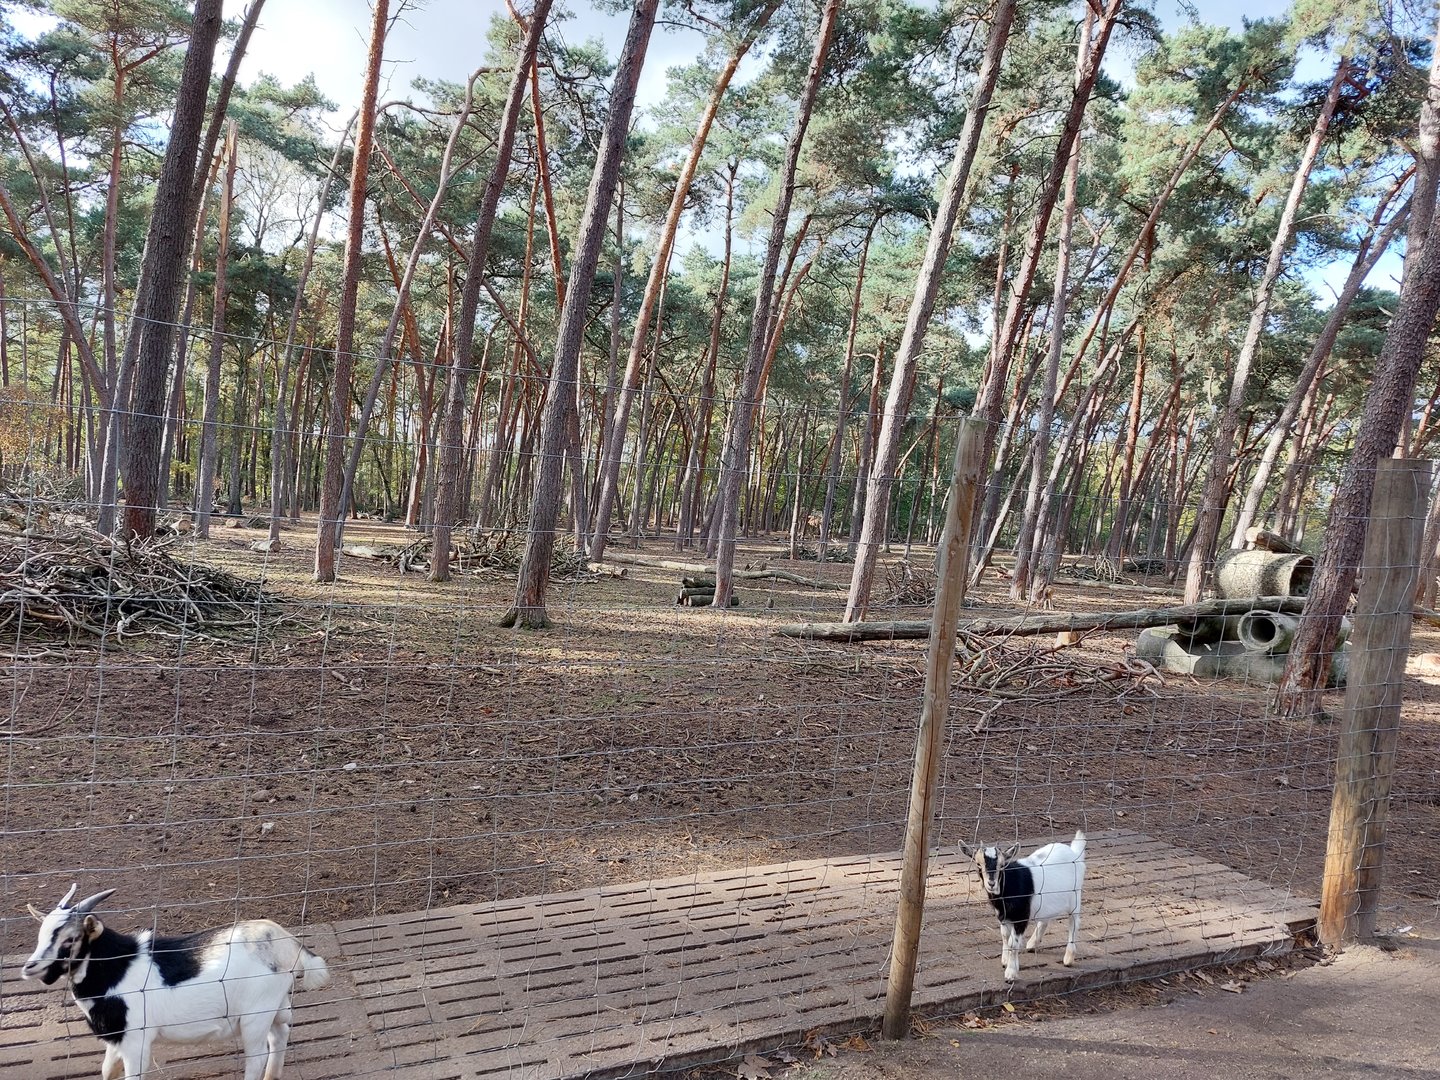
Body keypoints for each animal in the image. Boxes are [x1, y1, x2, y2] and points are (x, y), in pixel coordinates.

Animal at [21, 884, 330, 1080]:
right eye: (40, 934)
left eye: (70, 939)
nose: (29, 967)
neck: (118, 967)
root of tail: (287, 943)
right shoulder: (117, 1038)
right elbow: (108, 1072)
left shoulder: (136, 1040)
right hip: (275, 1005)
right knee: (280, 1035)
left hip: (255, 1015)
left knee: (257, 1057)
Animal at [959, 830, 1086, 982]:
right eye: (978, 864)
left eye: (1002, 865)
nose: (991, 884)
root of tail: (1074, 852)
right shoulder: (1003, 916)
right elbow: (1005, 936)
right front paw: (1005, 960)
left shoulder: (1021, 916)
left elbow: (1013, 943)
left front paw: (1011, 972)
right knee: (1045, 920)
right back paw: (1032, 944)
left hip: (1075, 896)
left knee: (1074, 922)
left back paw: (1068, 958)